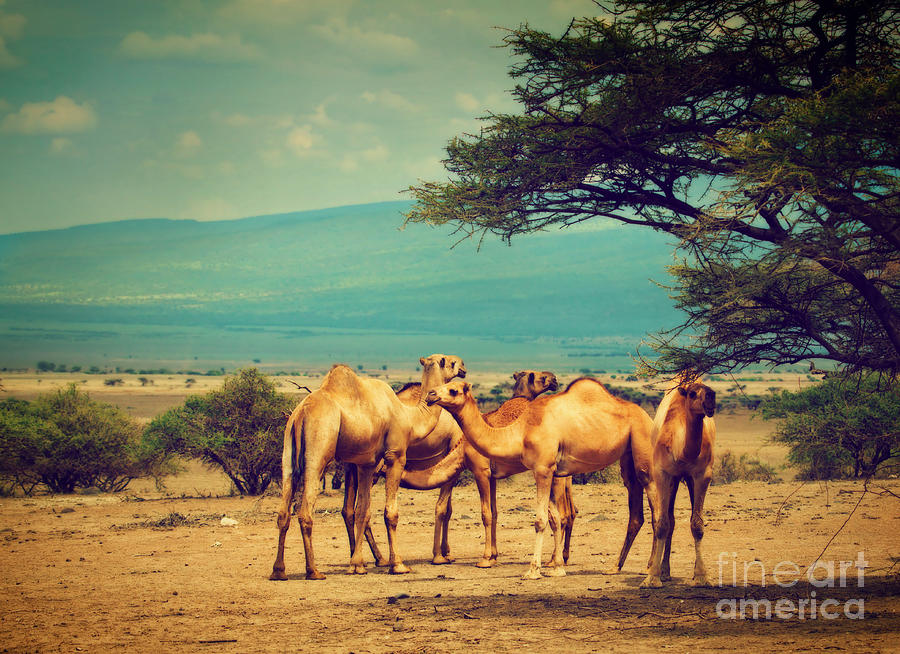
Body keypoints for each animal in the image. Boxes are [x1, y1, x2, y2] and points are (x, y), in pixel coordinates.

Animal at [268, 356, 464, 580]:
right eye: (451, 362)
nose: (464, 368)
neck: (409, 416)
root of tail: (301, 413)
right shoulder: (396, 456)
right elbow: (391, 513)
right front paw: (399, 564)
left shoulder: (367, 464)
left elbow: (361, 511)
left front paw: (357, 564)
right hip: (318, 449)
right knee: (305, 511)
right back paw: (314, 571)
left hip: (288, 454)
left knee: (284, 510)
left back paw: (279, 570)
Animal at [422, 376, 660, 580]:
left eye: (453, 390)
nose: (431, 394)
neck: (520, 432)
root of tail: (647, 415)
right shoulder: (550, 471)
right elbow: (553, 518)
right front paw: (557, 568)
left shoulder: (542, 469)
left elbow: (540, 520)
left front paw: (532, 570)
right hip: (627, 458)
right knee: (635, 513)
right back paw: (615, 568)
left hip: (643, 447)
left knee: (656, 507)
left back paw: (652, 572)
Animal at [640, 380, 716, 588]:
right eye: (692, 393)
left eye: (710, 389)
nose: (711, 398)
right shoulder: (662, 473)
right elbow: (663, 523)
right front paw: (652, 577)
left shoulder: (702, 475)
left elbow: (697, 524)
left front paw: (701, 576)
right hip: (673, 480)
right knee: (670, 519)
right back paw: (665, 571)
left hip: (689, 479)